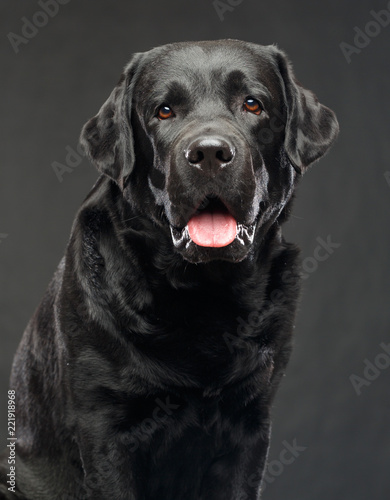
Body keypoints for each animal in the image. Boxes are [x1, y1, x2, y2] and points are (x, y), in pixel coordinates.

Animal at [0, 40, 338, 500]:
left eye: (253, 104)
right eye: (163, 111)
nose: (210, 153)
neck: (202, 292)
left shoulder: (250, 425)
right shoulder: (106, 430)